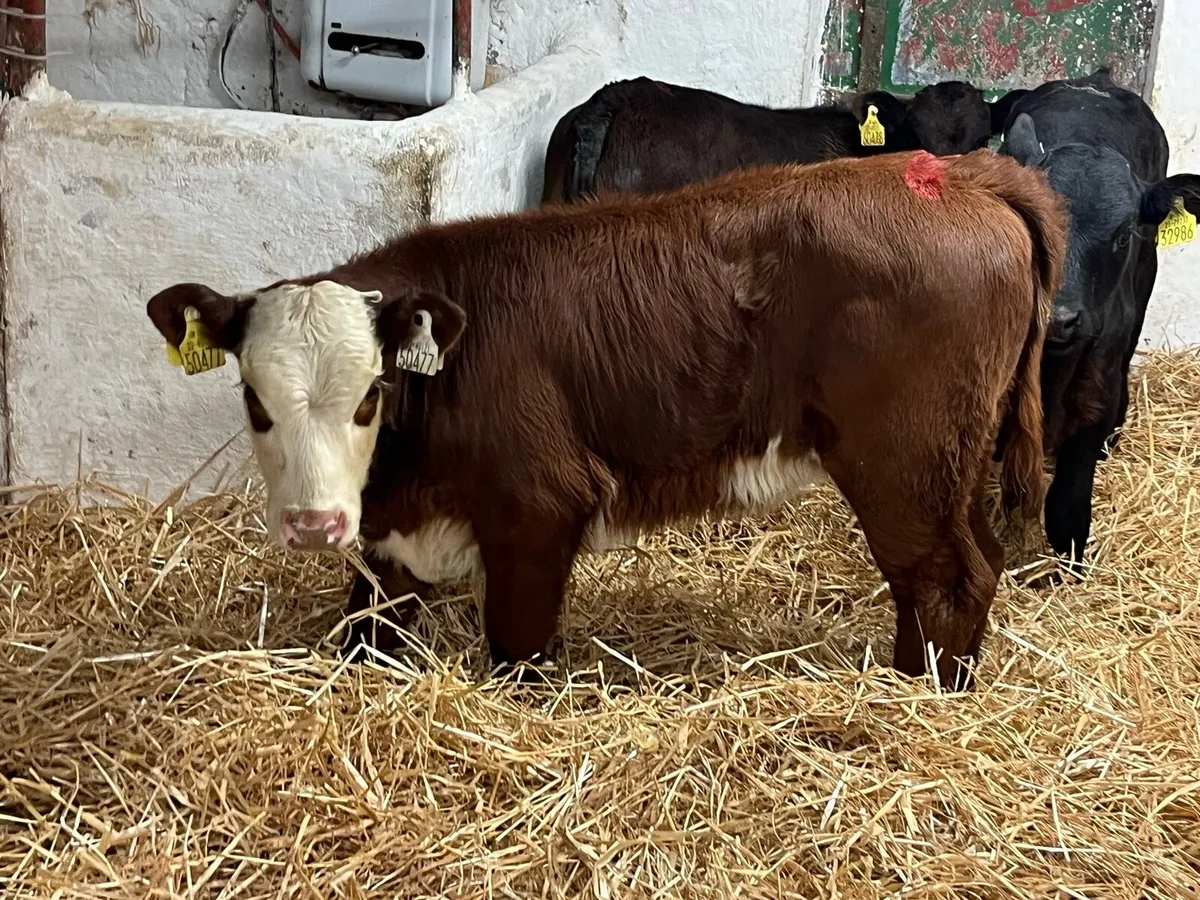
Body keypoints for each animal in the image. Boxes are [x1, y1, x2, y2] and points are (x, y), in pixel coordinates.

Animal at [147, 149, 1065, 690]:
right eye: (254, 400)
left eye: (371, 393)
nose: (312, 523)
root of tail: (967, 175)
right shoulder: (391, 543)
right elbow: (365, 633)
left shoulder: (538, 508)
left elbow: (518, 649)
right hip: (950, 467)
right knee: (966, 566)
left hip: (902, 462)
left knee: (947, 580)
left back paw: (917, 696)